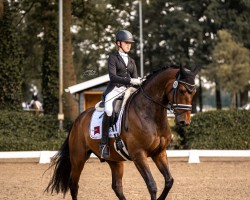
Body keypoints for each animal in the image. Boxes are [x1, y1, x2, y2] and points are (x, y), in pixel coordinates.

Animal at [45, 65, 197, 199]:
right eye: (182, 90)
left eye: (194, 92)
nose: (184, 121)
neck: (151, 115)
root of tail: (78, 119)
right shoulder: (139, 155)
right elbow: (152, 185)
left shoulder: (159, 153)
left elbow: (169, 181)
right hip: (78, 158)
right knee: (74, 185)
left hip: (115, 160)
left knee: (117, 186)